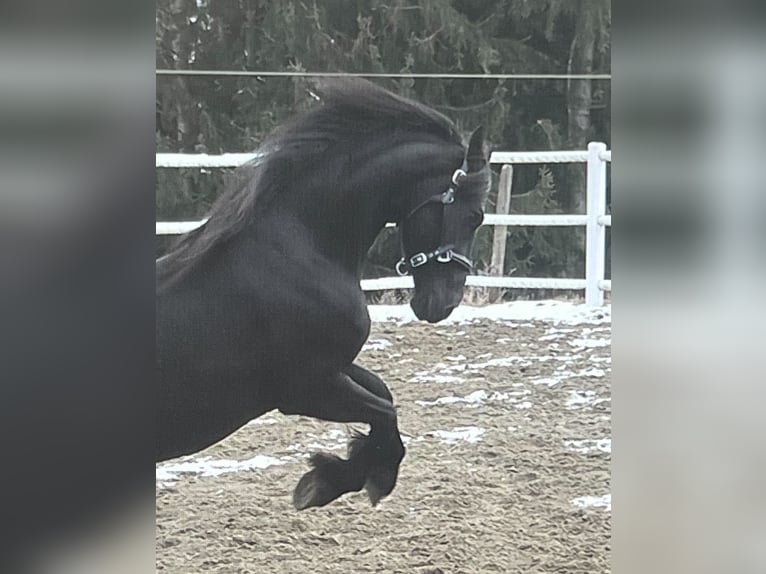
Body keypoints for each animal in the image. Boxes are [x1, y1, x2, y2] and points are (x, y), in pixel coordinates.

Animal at [158, 79, 492, 510]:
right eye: (475, 216)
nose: (444, 303)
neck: (301, 249)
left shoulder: (334, 367)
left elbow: (385, 396)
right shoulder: (307, 389)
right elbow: (384, 413)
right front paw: (334, 481)